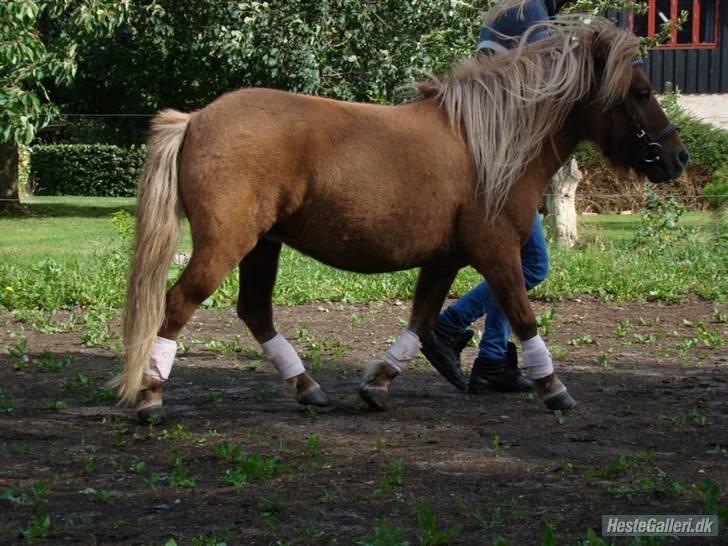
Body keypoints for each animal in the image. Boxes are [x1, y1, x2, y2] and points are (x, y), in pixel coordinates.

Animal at [112, 14, 688, 418]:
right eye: (639, 92)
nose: (677, 157)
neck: (489, 143)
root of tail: (194, 120)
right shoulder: (497, 251)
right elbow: (523, 315)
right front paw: (554, 388)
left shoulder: (444, 259)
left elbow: (421, 321)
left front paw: (378, 384)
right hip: (227, 242)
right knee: (178, 304)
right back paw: (151, 396)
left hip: (262, 245)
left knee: (255, 311)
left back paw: (307, 387)